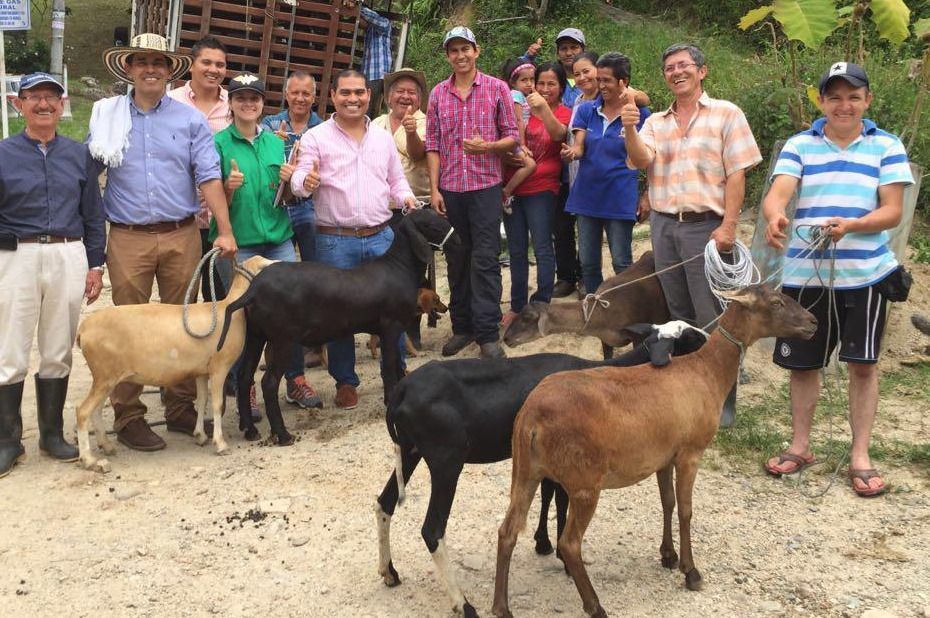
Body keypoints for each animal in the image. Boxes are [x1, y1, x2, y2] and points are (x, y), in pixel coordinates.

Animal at [74, 253, 274, 470]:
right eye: (266, 265)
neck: (228, 308)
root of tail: (83, 329)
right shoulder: (219, 367)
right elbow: (217, 404)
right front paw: (220, 444)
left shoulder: (202, 371)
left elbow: (202, 401)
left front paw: (200, 435)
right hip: (104, 374)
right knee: (83, 412)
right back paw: (90, 460)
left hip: (106, 377)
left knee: (95, 411)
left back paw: (107, 446)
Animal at [214, 207, 454, 442]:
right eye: (430, 224)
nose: (455, 238)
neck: (397, 267)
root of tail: (254, 289)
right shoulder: (390, 327)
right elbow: (389, 367)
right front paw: (390, 400)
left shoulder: (391, 332)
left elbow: (395, 366)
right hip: (283, 340)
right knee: (269, 383)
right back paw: (282, 434)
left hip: (255, 336)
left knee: (245, 377)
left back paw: (250, 429)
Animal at [374, 322, 708, 616]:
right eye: (690, 338)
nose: (710, 339)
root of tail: (402, 390)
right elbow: (559, 498)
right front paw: (561, 555)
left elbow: (550, 494)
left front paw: (546, 544)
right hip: (446, 461)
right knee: (432, 529)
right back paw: (464, 605)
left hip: (410, 451)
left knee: (384, 503)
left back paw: (389, 572)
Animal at [490, 286, 816, 616]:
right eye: (776, 303)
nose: (813, 322)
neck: (707, 370)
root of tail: (531, 415)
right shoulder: (690, 453)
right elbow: (685, 509)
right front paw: (690, 571)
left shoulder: (664, 457)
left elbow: (667, 503)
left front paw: (668, 556)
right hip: (584, 482)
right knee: (569, 543)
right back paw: (595, 605)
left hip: (526, 471)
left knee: (507, 531)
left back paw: (501, 606)